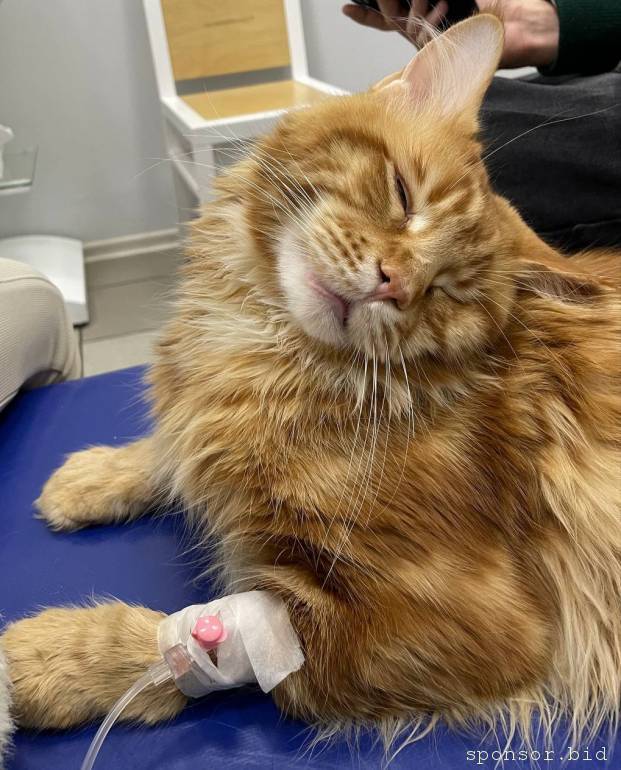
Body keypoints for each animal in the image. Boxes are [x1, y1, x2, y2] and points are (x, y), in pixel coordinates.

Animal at [2, 13, 621, 753]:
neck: (261, 345)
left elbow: (190, 643)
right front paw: (99, 476)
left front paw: (47, 661)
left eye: (448, 293)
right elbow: (171, 450)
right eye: (403, 195)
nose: (394, 284)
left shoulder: (454, 622)